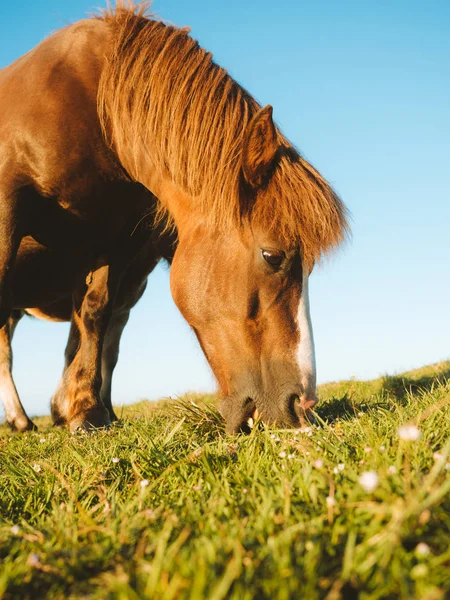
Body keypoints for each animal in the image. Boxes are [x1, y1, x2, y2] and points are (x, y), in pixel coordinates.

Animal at [0, 3, 348, 436]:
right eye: (272, 256)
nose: (303, 406)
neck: (90, 104)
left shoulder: (116, 243)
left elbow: (95, 322)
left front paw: (85, 411)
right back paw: (18, 419)